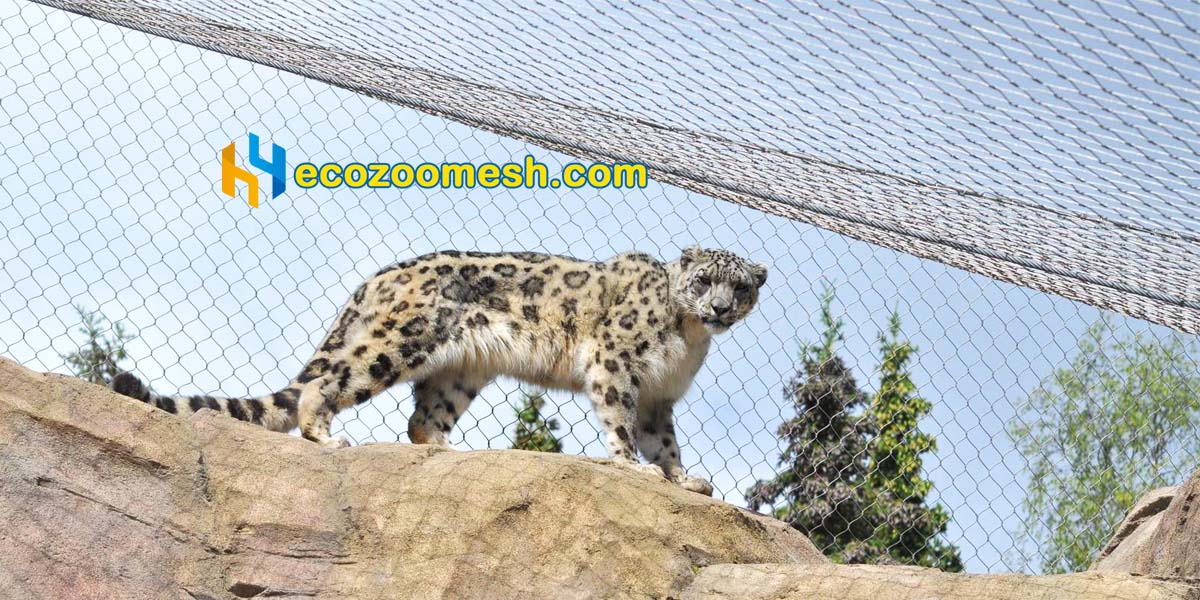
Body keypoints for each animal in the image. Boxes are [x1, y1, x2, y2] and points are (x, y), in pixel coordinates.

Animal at [111, 246, 767, 495]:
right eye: (703, 280)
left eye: (739, 286)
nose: (720, 307)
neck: (688, 341)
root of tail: (376, 279)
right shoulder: (618, 366)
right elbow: (623, 425)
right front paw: (634, 467)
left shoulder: (661, 397)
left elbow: (666, 440)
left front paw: (685, 479)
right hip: (398, 345)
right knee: (326, 383)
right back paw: (327, 435)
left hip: (459, 373)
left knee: (422, 420)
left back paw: (451, 454)